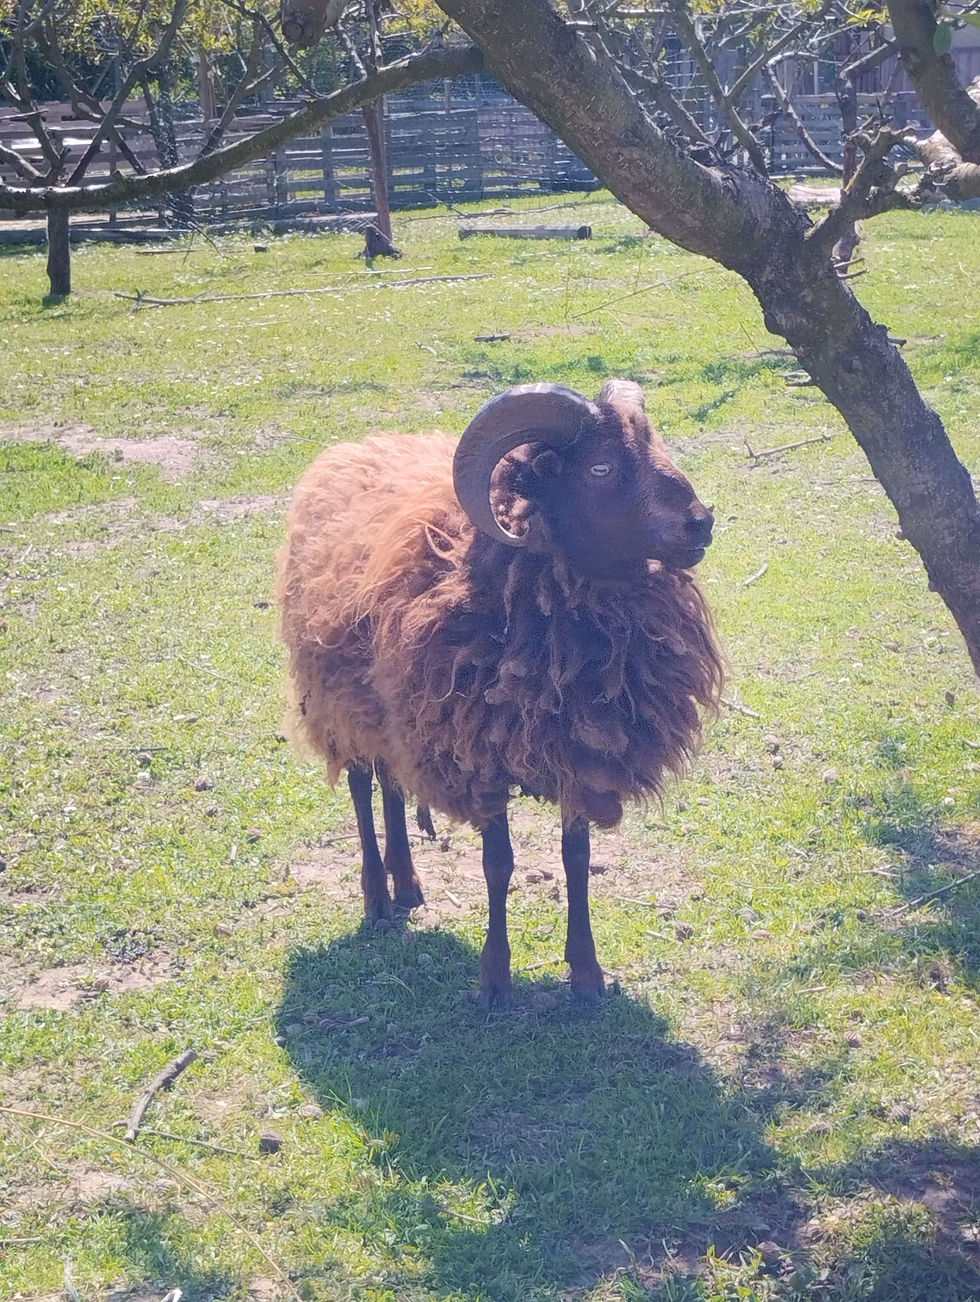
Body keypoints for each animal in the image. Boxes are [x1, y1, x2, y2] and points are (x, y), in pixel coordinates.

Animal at [277, 379, 723, 1007]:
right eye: (601, 467)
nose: (701, 524)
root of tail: (351, 449)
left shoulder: (579, 751)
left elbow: (576, 859)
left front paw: (587, 975)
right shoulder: (477, 755)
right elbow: (499, 864)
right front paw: (494, 978)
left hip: (391, 711)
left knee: (392, 783)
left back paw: (406, 881)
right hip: (337, 699)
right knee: (364, 787)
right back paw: (378, 898)